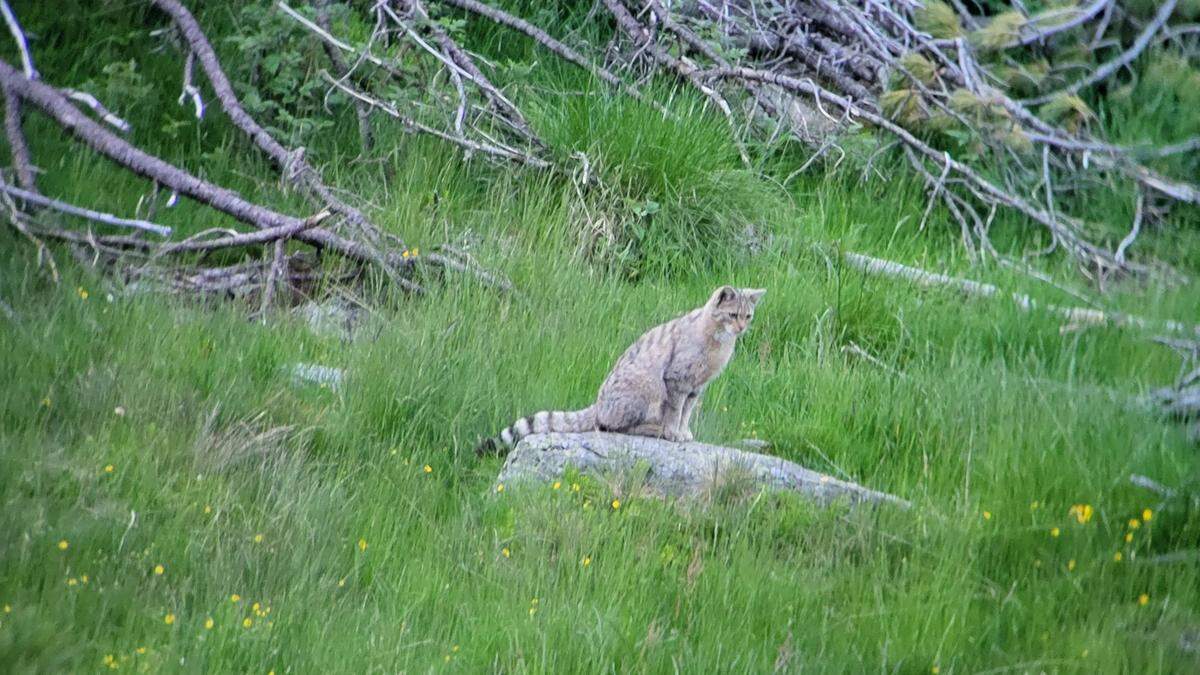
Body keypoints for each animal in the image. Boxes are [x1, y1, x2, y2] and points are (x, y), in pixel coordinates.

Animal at [475, 285, 763, 454]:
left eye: (748, 316)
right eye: (732, 315)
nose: (742, 328)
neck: (718, 342)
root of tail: (597, 405)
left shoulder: (695, 389)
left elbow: (686, 414)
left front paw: (683, 432)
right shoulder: (677, 381)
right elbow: (675, 412)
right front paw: (673, 433)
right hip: (645, 390)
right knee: (613, 427)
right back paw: (653, 429)